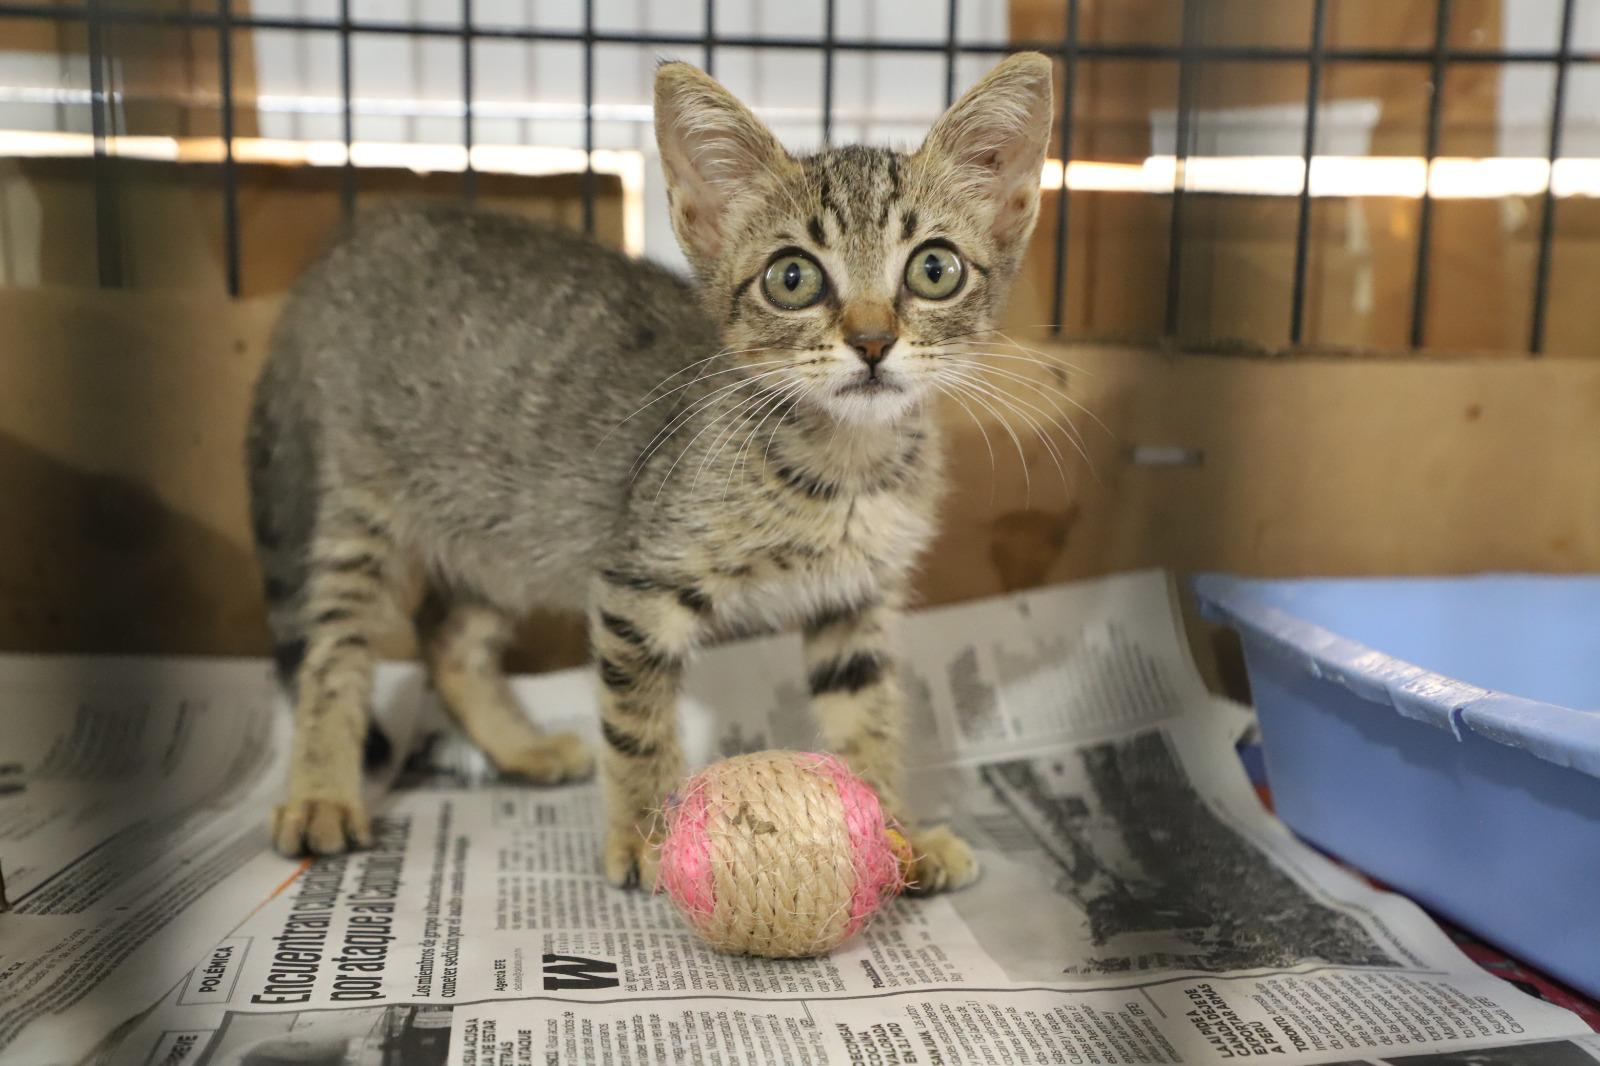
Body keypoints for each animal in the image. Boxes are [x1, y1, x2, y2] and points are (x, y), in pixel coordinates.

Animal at [246, 54, 1049, 889]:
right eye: (792, 278)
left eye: (934, 269)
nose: (871, 342)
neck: (843, 465)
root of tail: (352, 242)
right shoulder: (637, 586)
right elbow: (636, 725)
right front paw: (644, 835)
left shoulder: (853, 605)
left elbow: (870, 726)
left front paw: (896, 834)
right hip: (363, 508)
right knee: (333, 649)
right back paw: (321, 792)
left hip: (510, 528)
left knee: (445, 632)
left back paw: (520, 747)